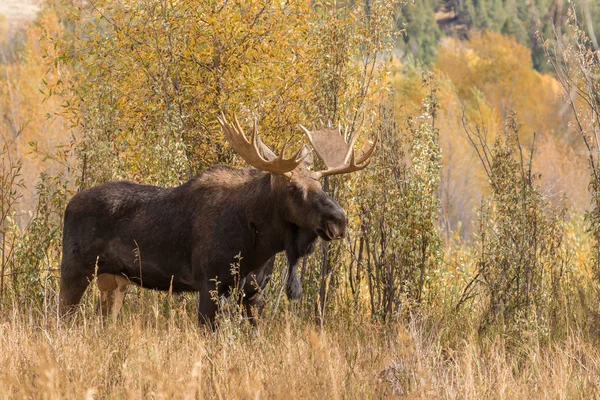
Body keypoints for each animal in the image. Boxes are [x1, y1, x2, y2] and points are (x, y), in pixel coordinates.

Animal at [57, 113, 376, 324]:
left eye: (321, 186)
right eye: (294, 188)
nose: (339, 221)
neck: (260, 242)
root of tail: (68, 206)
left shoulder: (253, 293)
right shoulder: (209, 283)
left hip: (113, 280)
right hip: (74, 270)